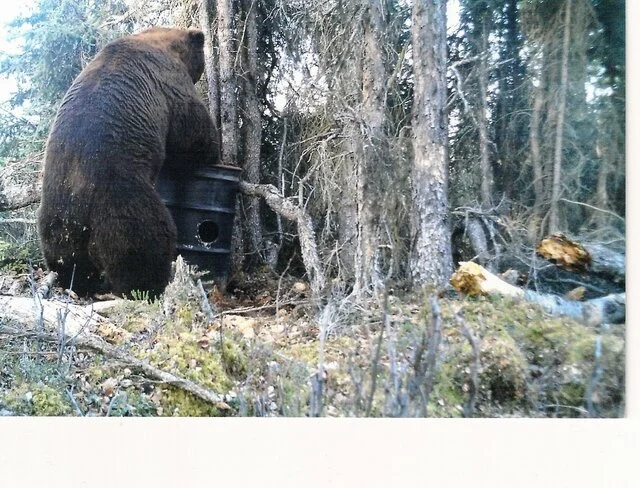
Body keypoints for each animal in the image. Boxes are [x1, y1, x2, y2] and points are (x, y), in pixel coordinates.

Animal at [37, 27, 217, 298]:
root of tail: (79, 199)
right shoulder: (169, 84)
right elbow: (191, 130)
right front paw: (212, 151)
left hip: (57, 213)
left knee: (66, 256)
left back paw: (79, 283)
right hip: (123, 198)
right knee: (145, 241)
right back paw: (147, 286)